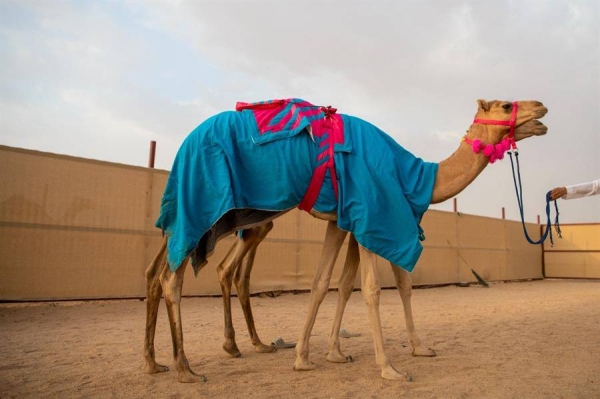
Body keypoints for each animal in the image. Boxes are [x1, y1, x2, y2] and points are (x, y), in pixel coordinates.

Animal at [143, 98, 548, 382]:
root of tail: (182, 146)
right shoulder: (374, 213)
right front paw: (389, 368)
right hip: (206, 204)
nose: (542, 107)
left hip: (214, 215)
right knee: (173, 276)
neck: (418, 176)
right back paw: (187, 369)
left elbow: (332, 283)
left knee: (163, 270)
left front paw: (316, 356)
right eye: (507, 104)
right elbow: (371, 287)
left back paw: (159, 362)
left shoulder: (344, 221)